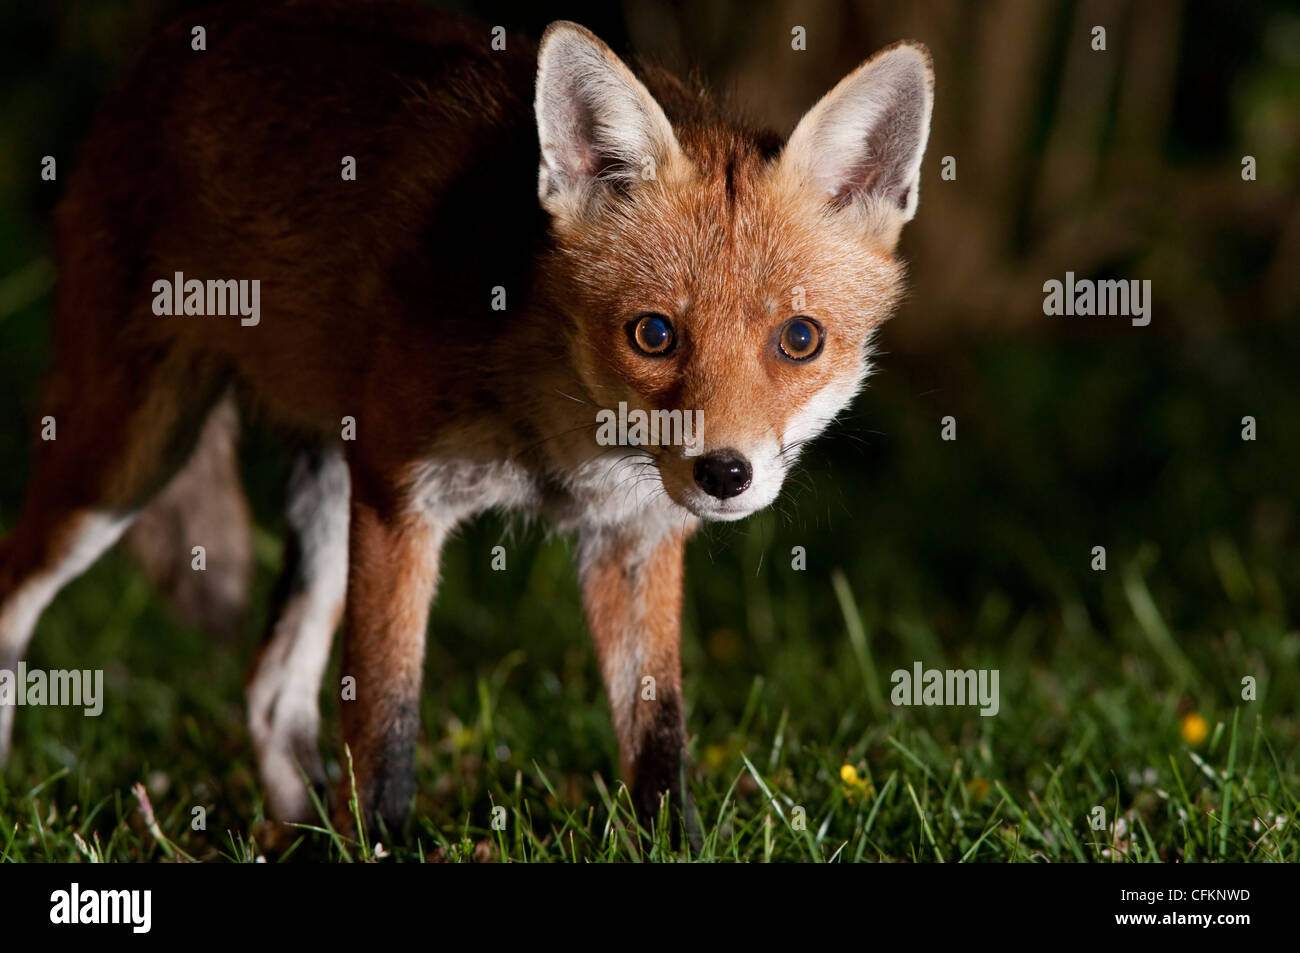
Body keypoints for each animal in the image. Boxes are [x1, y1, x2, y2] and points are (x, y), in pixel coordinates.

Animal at [0, 1, 935, 842]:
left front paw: (677, 844)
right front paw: (381, 842)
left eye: (800, 339)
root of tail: (165, 44)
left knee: (269, 691)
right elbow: (386, 728)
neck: (564, 430)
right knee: (17, 597)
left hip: (321, 495)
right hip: (126, 462)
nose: (724, 473)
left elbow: (659, 741)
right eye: (654, 334)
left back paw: (302, 833)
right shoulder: (401, 500)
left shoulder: (631, 540)